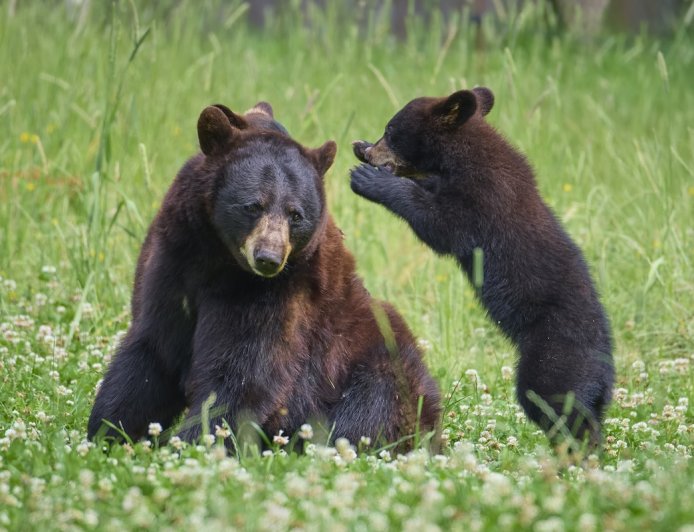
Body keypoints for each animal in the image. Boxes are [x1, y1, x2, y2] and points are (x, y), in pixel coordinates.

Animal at [87, 101, 441, 449]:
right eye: (253, 205)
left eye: (296, 214)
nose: (268, 258)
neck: (217, 259)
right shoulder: (174, 259)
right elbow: (153, 350)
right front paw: (109, 432)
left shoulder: (278, 294)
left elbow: (243, 373)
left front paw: (196, 441)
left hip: (373, 358)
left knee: (371, 405)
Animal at [350, 87, 613, 450]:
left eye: (391, 131)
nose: (363, 150)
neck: (460, 159)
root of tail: (604, 365)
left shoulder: (482, 197)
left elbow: (440, 225)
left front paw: (370, 181)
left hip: (554, 359)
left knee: (556, 405)